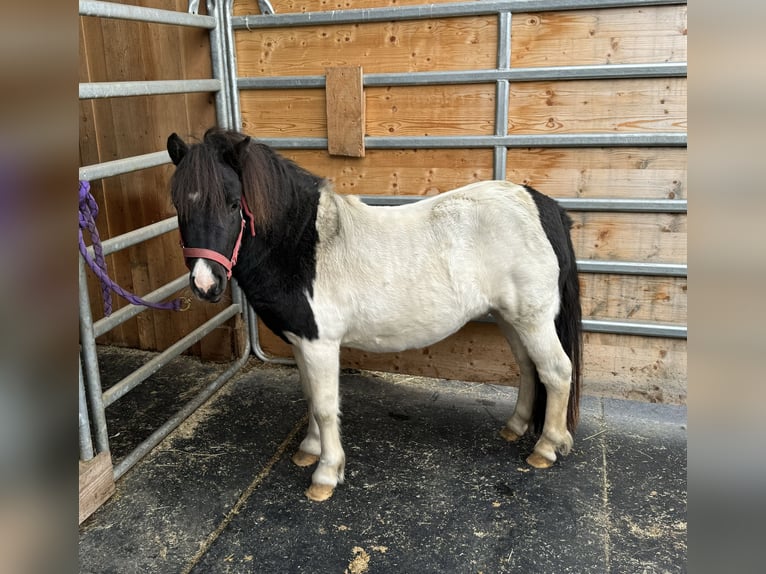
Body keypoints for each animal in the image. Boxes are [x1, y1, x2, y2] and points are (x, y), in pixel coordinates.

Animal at [168, 128, 584, 502]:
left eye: (232, 203)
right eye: (177, 206)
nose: (206, 283)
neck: (302, 245)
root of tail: (543, 206)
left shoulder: (320, 344)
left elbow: (324, 406)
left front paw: (326, 474)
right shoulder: (302, 340)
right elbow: (310, 397)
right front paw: (309, 450)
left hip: (532, 320)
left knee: (556, 371)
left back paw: (546, 448)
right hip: (508, 318)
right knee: (529, 368)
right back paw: (515, 427)